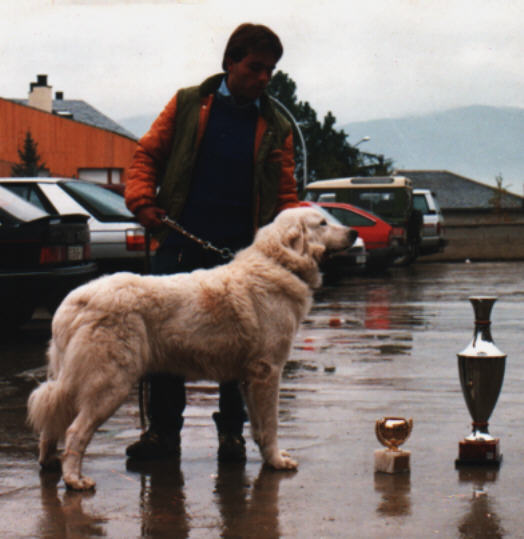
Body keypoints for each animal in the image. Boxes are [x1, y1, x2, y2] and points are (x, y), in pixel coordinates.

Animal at [28, 207, 356, 490]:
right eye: (322, 223)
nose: (354, 232)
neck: (279, 264)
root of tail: (74, 300)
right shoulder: (268, 371)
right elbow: (272, 423)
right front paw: (276, 462)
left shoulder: (249, 378)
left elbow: (259, 427)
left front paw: (267, 456)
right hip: (111, 384)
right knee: (74, 432)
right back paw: (74, 480)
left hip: (72, 378)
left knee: (50, 422)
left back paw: (50, 463)